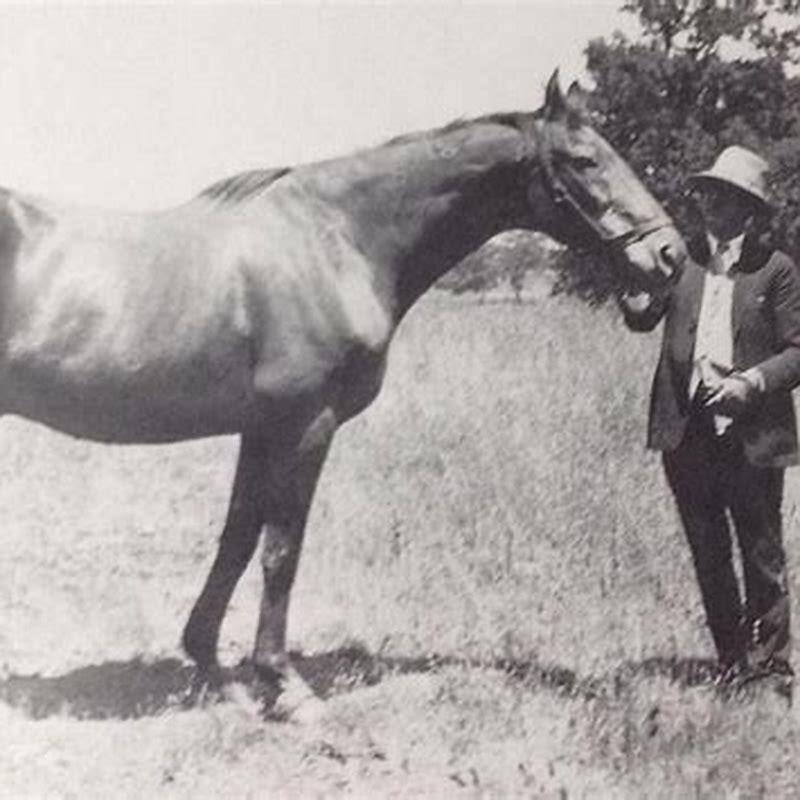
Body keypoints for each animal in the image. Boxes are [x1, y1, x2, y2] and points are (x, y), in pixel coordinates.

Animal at [0, 73, 687, 717]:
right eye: (584, 160)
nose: (670, 255)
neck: (337, 241)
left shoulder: (261, 429)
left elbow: (238, 539)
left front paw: (218, 669)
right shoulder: (307, 424)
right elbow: (282, 549)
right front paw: (285, 684)